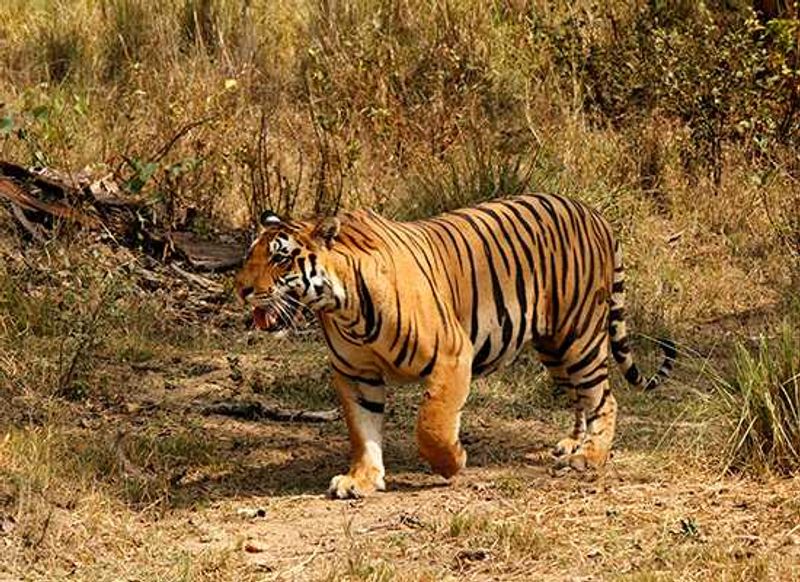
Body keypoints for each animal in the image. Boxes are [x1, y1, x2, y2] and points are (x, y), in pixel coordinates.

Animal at [234, 193, 676, 499]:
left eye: (280, 259)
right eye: (249, 256)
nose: (240, 289)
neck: (343, 307)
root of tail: (592, 211)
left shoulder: (451, 354)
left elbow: (432, 424)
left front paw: (453, 463)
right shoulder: (355, 374)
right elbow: (362, 430)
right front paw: (361, 480)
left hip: (579, 335)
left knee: (605, 397)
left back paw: (590, 456)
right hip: (553, 346)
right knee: (582, 396)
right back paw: (573, 443)